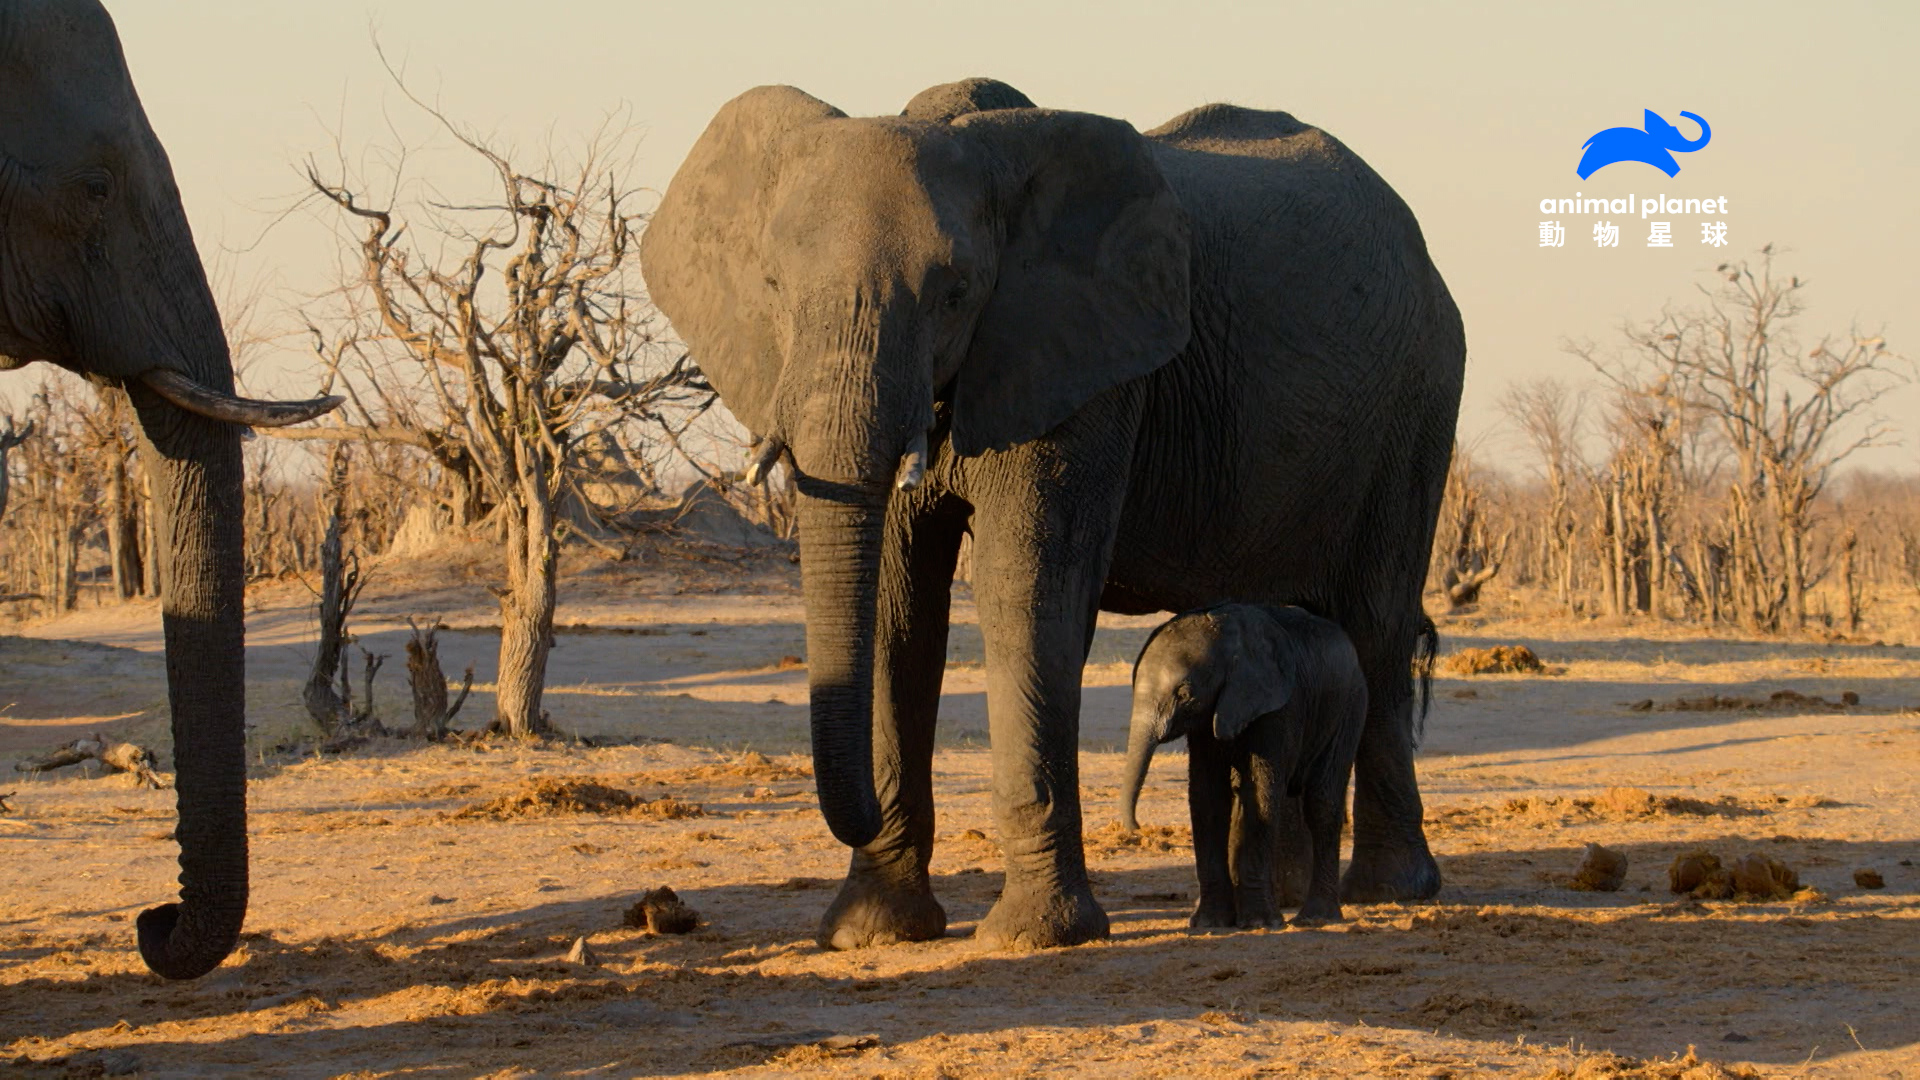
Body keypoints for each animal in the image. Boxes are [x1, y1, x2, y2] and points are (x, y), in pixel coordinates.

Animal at [1121, 599, 1374, 922]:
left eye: (1185, 694)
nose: (1138, 827)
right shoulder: (1210, 717)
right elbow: (1208, 796)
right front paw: (1209, 923)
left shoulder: (1278, 706)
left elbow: (1260, 791)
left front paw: (1261, 922)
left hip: (1349, 705)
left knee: (1321, 801)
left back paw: (1317, 917)